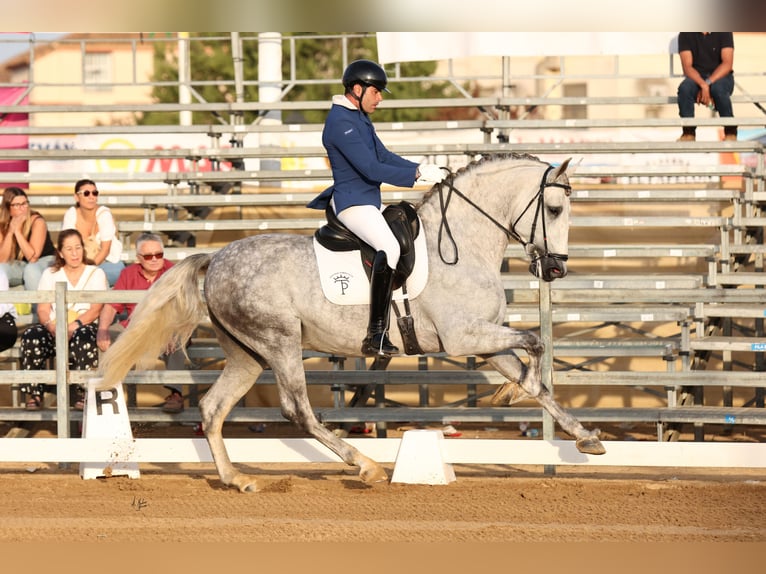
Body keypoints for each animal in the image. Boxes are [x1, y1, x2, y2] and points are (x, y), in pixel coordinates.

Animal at [100, 154, 608, 496]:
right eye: (555, 210)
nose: (556, 269)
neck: (460, 245)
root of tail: (217, 257)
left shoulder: (483, 338)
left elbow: (537, 371)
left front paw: (585, 437)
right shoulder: (463, 336)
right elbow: (536, 343)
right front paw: (515, 393)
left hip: (248, 354)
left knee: (212, 408)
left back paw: (238, 479)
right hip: (280, 342)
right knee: (297, 410)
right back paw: (364, 465)